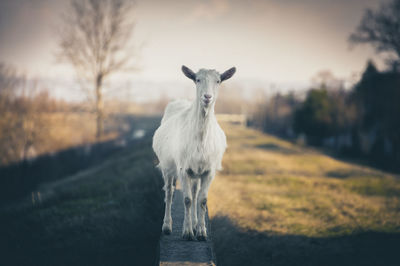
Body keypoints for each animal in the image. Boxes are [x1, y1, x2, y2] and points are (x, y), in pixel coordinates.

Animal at [152, 65, 234, 241]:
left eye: (218, 81)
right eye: (197, 79)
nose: (207, 97)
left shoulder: (208, 171)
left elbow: (202, 200)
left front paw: (201, 232)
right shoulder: (183, 169)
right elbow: (187, 199)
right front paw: (188, 233)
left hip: (197, 172)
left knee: (195, 193)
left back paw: (196, 224)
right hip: (168, 168)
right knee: (169, 193)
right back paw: (167, 226)